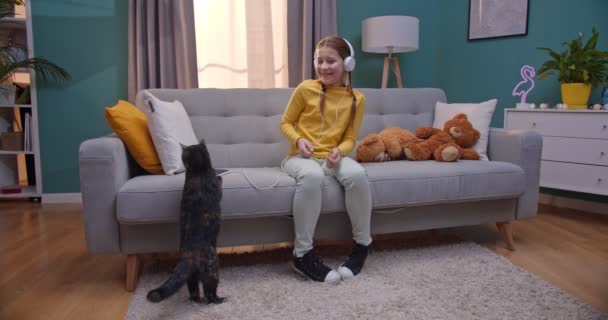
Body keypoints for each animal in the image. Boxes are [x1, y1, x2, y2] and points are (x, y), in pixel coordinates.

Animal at [147, 141, 226, 304]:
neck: (199, 172)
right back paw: (219, 299)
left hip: (192, 278)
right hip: (213, 270)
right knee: (210, 292)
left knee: (194, 290)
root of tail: (189, 257)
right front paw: (220, 178)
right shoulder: (216, 185)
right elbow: (219, 182)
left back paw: (197, 299)